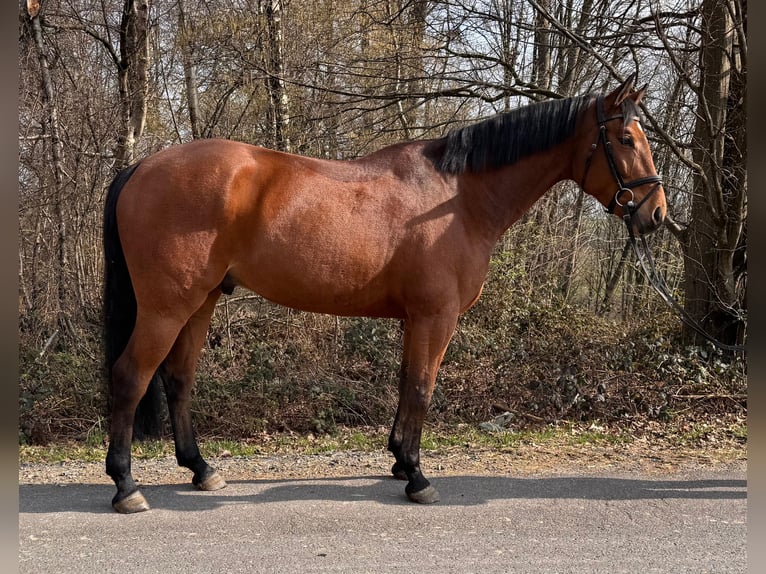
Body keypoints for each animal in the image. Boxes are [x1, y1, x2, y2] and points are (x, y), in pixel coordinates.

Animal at [103, 74, 666, 513]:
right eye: (624, 138)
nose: (656, 214)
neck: (458, 198)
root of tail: (141, 167)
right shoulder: (436, 317)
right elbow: (421, 388)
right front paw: (416, 476)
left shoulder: (415, 319)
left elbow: (404, 384)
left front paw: (398, 459)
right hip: (166, 307)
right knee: (130, 377)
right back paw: (126, 486)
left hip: (201, 303)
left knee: (178, 380)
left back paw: (201, 469)